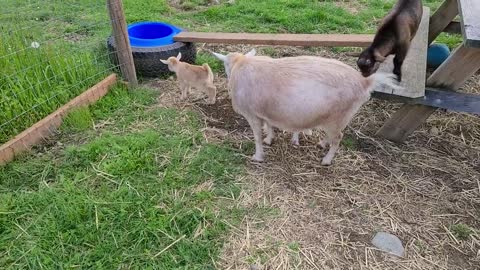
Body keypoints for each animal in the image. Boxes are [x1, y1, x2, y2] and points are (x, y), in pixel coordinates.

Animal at [214, 49, 402, 166]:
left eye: (224, 66)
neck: (240, 63)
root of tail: (365, 82)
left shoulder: (251, 114)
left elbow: (257, 137)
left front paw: (258, 156)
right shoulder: (266, 111)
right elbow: (269, 124)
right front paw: (270, 139)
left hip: (337, 117)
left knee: (338, 138)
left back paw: (326, 160)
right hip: (335, 119)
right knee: (333, 136)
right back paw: (322, 143)